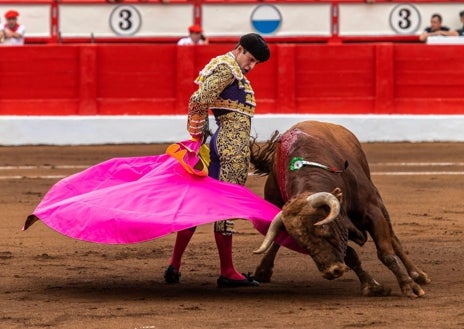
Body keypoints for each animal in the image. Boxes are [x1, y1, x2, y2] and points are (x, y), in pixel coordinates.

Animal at [250, 120, 432, 298]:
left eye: (323, 227)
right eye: (299, 242)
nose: (332, 271)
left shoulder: (372, 211)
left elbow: (386, 253)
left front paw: (409, 286)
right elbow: (351, 257)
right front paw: (372, 286)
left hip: (378, 199)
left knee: (394, 239)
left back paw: (418, 275)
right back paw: (263, 271)